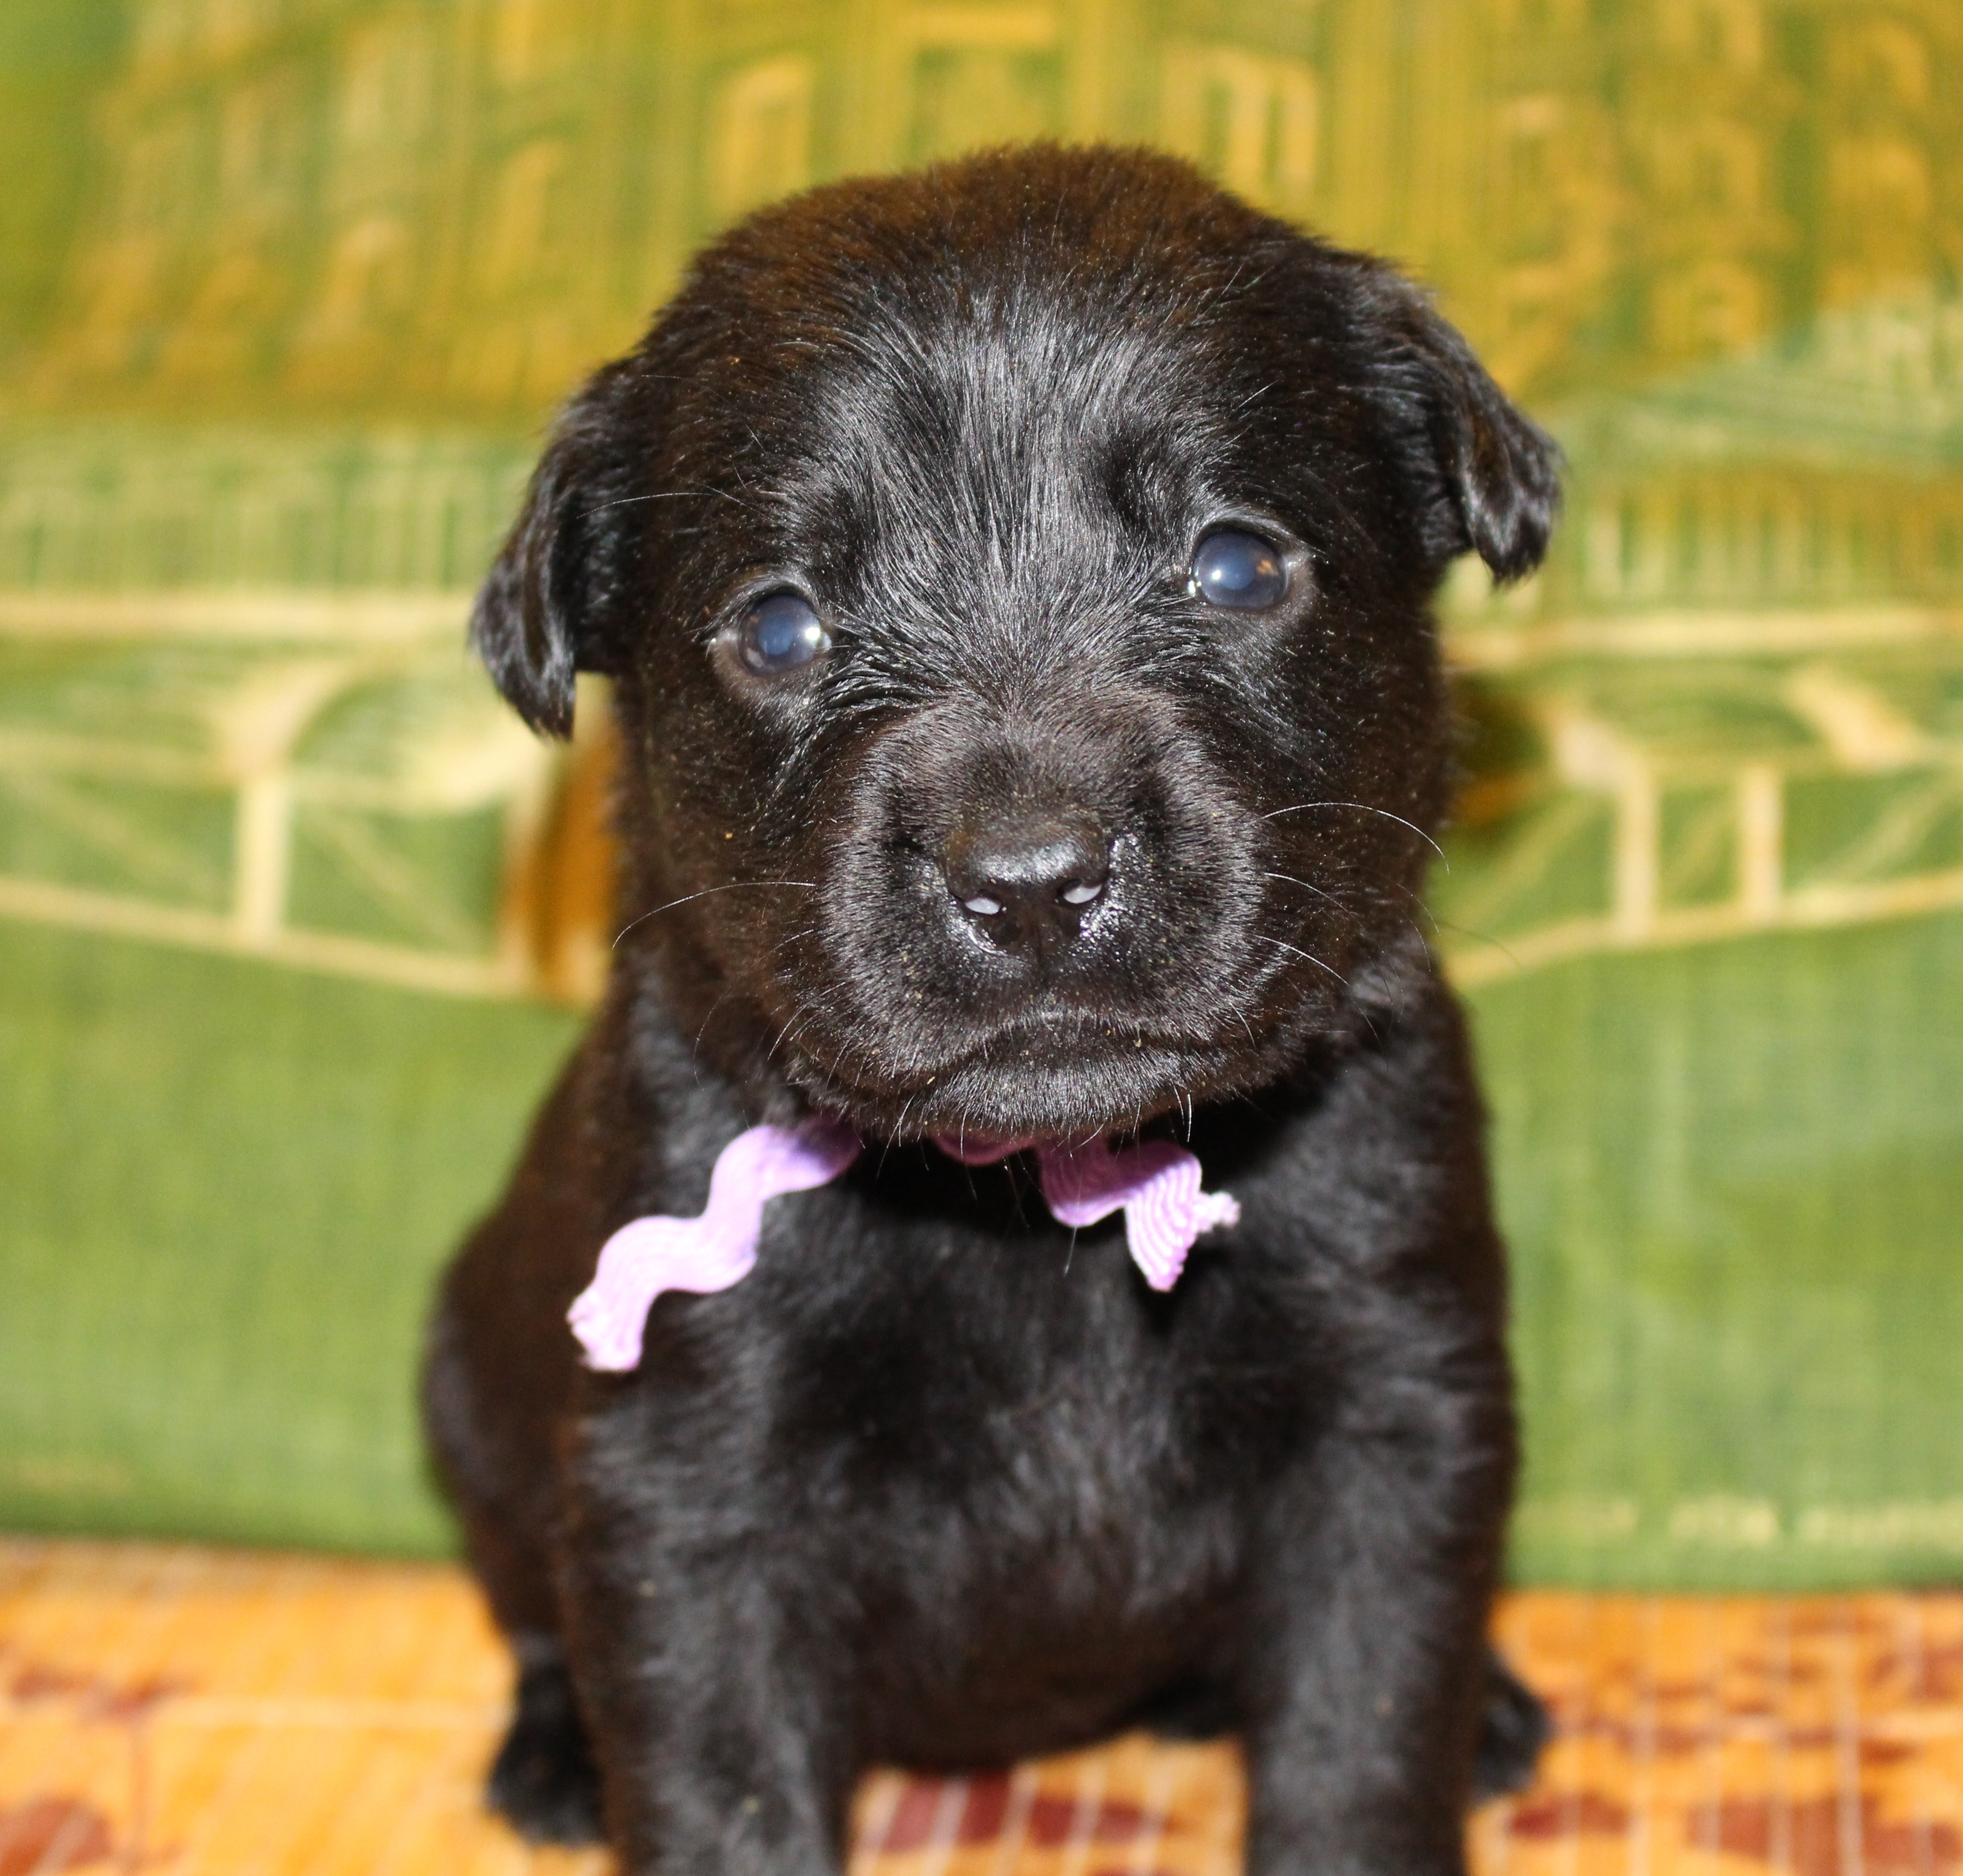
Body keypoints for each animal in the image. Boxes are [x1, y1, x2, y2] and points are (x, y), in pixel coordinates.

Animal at [430, 146, 1562, 1876]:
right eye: (780, 626)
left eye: (1238, 564)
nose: (1031, 882)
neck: (1050, 1212)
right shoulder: (687, 1485)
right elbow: (721, 1780)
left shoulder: (1394, 1414)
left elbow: (1362, 1739)